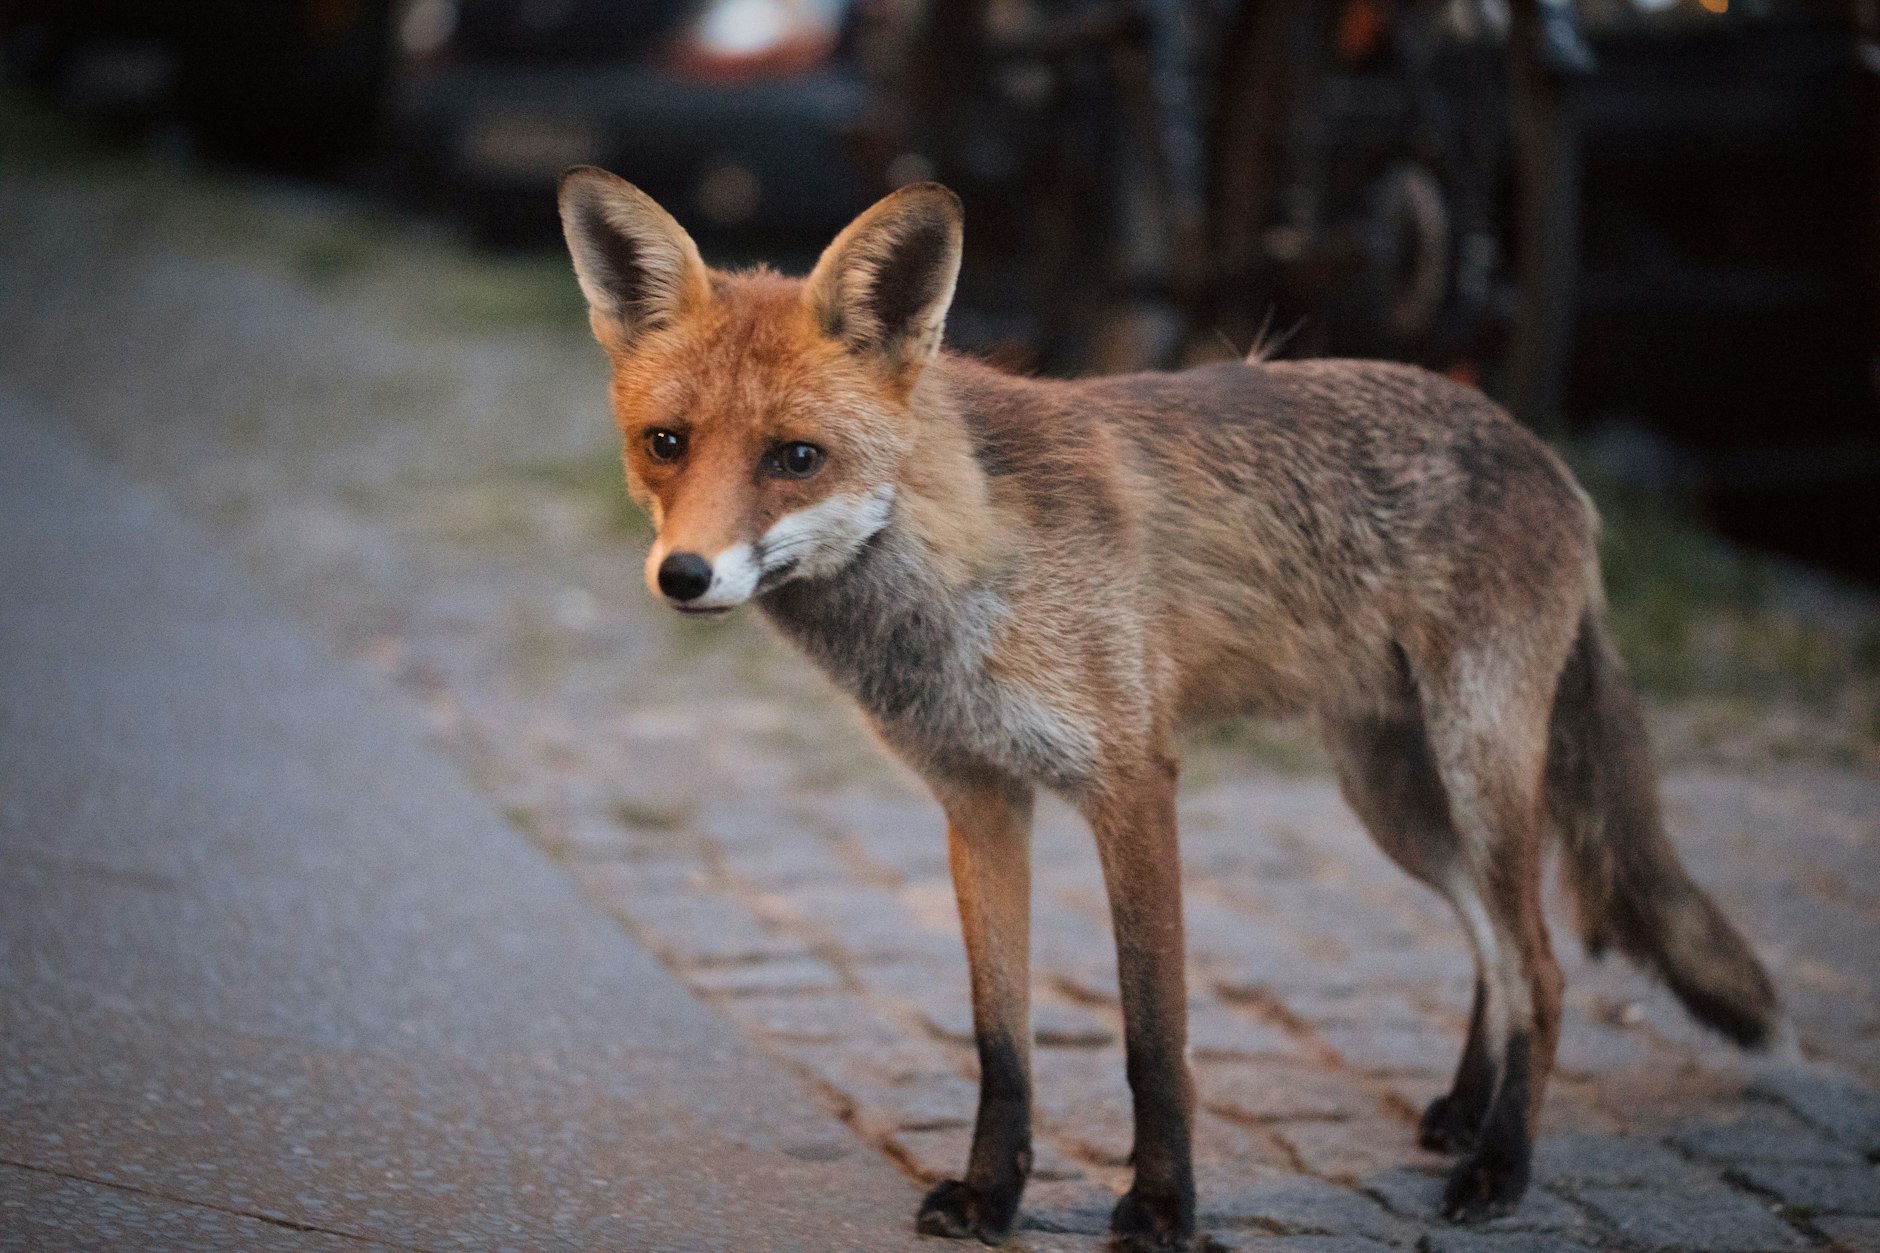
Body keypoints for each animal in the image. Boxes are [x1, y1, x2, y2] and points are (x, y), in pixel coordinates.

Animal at [556, 168, 1785, 1250]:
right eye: (667, 443)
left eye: (795, 457)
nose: (683, 575)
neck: (963, 565)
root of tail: (1545, 452)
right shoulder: (978, 796)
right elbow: (1000, 1041)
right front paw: (991, 1195)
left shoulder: (1132, 782)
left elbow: (1155, 1039)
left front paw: (1159, 1207)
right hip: (1394, 795)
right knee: (1496, 944)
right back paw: (1460, 1112)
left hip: (1474, 765)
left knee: (1542, 963)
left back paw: (1501, 1163)